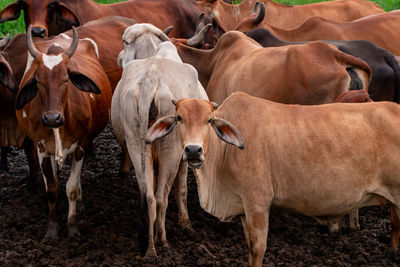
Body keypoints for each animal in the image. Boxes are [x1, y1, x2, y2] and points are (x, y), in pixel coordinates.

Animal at [111, 24, 208, 258]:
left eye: (125, 43)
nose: (119, 57)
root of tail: (151, 78)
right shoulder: (185, 155)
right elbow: (181, 190)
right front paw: (185, 224)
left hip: (136, 145)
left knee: (149, 196)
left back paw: (149, 246)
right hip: (170, 150)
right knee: (161, 197)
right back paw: (162, 241)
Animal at [145, 91, 400, 266]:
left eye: (209, 120)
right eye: (179, 118)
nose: (193, 150)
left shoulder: (258, 203)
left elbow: (258, 248)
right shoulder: (244, 209)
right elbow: (249, 246)